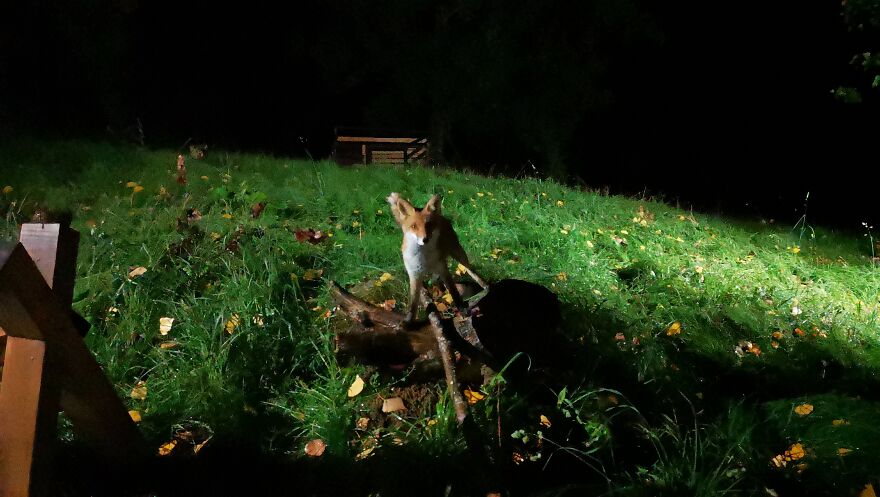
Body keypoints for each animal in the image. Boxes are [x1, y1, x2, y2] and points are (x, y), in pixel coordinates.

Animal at [386, 192, 487, 324]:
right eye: (413, 226)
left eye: (428, 224)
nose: (425, 239)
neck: (424, 259)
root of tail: (441, 217)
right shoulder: (414, 275)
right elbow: (413, 303)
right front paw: (409, 320)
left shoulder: (443, 270)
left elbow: (454, 292)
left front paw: (462, 309)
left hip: (459, 254)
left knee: (471, 271)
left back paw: (485, 286)